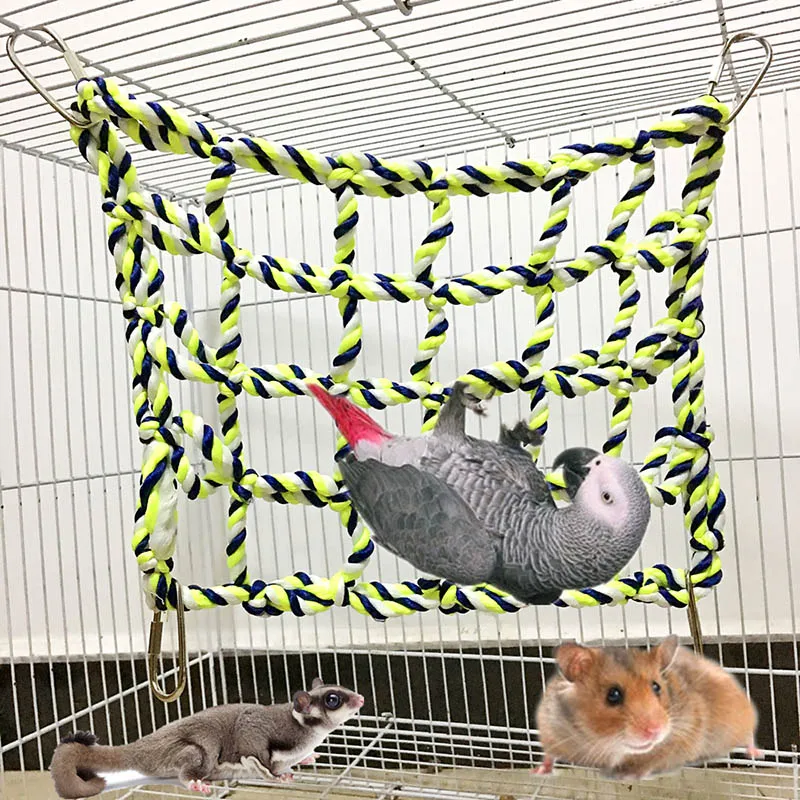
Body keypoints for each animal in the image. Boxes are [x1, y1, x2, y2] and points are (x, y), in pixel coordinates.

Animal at [50, 678, 364, 798]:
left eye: (340, 688)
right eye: (333, 699)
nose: (361, 698)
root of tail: (139, 748)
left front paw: (309, 757)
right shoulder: (258, 730)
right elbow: (256, 754)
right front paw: (276, 775)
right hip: (190, 752)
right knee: (190, 764)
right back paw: (195, 782)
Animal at [533, 636, 759, 780]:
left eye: (656, 687)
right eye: (613, 695)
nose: (655, 730)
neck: (606, 743)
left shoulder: (682, 734)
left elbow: (651, 760)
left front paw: (627, 775)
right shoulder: (550, 729)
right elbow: (549, 755)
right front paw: (539, 772)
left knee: (748, 735)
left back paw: (756, 754)